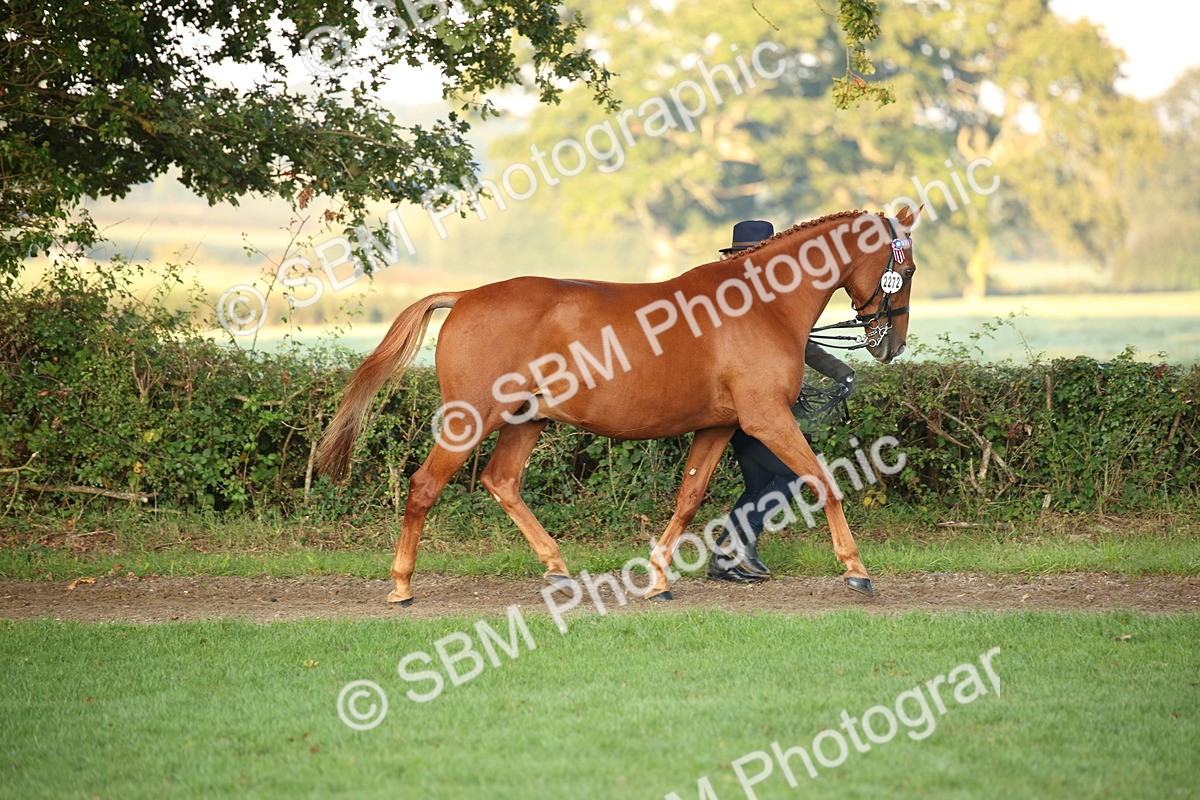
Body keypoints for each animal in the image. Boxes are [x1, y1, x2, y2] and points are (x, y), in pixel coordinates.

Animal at [316, 205, 921, 605]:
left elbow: (689, 498)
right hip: (471, 419)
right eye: (909, 270)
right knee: (425, 486)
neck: (759, 305)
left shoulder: (720, 426)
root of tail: (465, 297)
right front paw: (857, 571)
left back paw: (558, 570)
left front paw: (658, 580)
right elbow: (825, 481)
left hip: (527, 420)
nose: (890, 344)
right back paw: (401, 586)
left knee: (501, 480)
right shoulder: (766, 419)